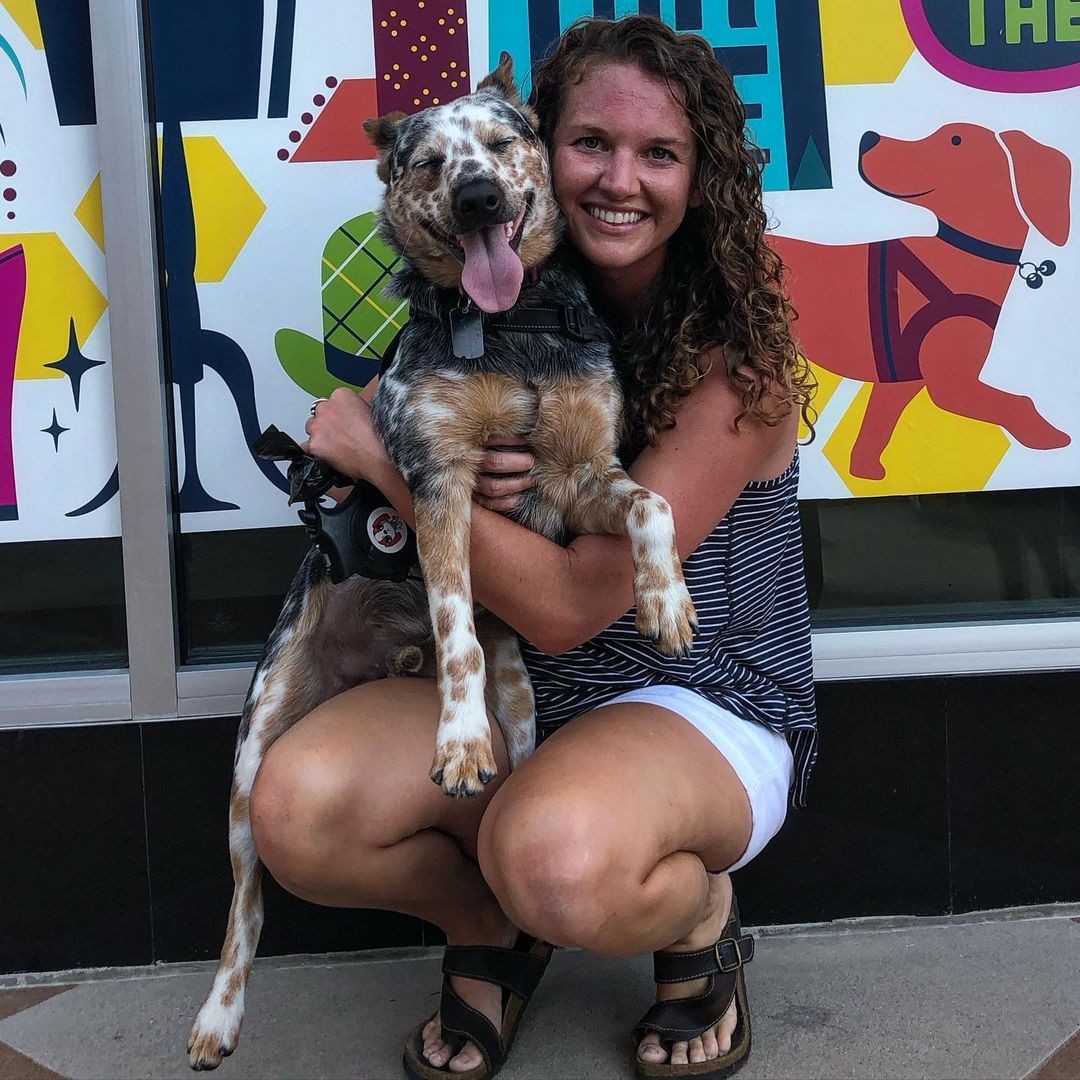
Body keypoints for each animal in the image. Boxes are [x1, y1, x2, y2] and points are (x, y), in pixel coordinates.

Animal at [773, 124, 1067, 479]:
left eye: (955, 140)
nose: (868, 137)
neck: (959, 254)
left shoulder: (903, 381)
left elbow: (876, 427)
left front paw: (866, 470)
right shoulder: (951, 385)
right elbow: (1017, 401)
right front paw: (1045, 435)